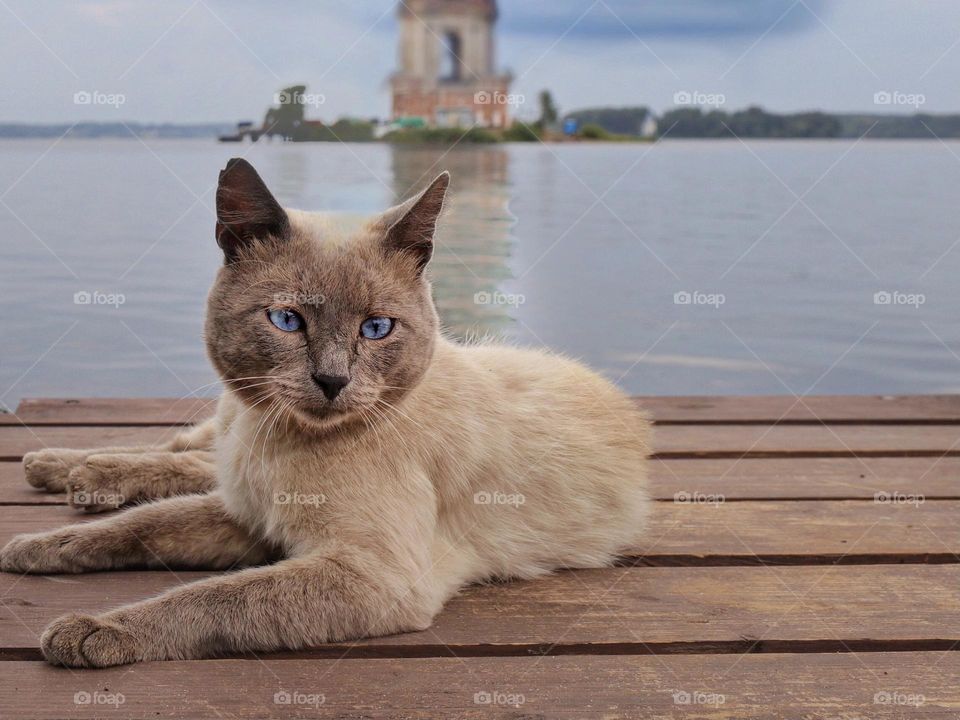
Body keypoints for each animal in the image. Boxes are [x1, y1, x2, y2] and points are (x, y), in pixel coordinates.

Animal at [0, 160, 652, 668]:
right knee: (177, 452)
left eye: (377, 328)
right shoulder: (247, 515)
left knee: (183, 463)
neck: (276, 443)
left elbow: (213, 598)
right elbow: (140, 526)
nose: (333, 381)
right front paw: (37, 548)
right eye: (287, 320)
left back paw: (74, 474)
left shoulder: (364, 572)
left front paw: (92, 631)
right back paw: (58, 468)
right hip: (216, 444)